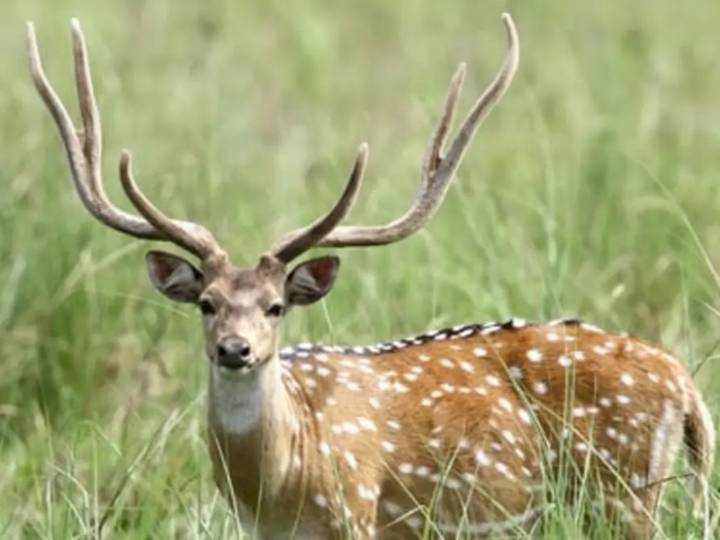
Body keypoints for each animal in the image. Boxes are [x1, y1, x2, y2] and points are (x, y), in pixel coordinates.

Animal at [27, 13, 714, 540]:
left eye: (276, 306)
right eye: (207, 303)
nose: (235, 349)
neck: (279, 484)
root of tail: (685, 384)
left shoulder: (356, 514)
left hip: (623, 491)